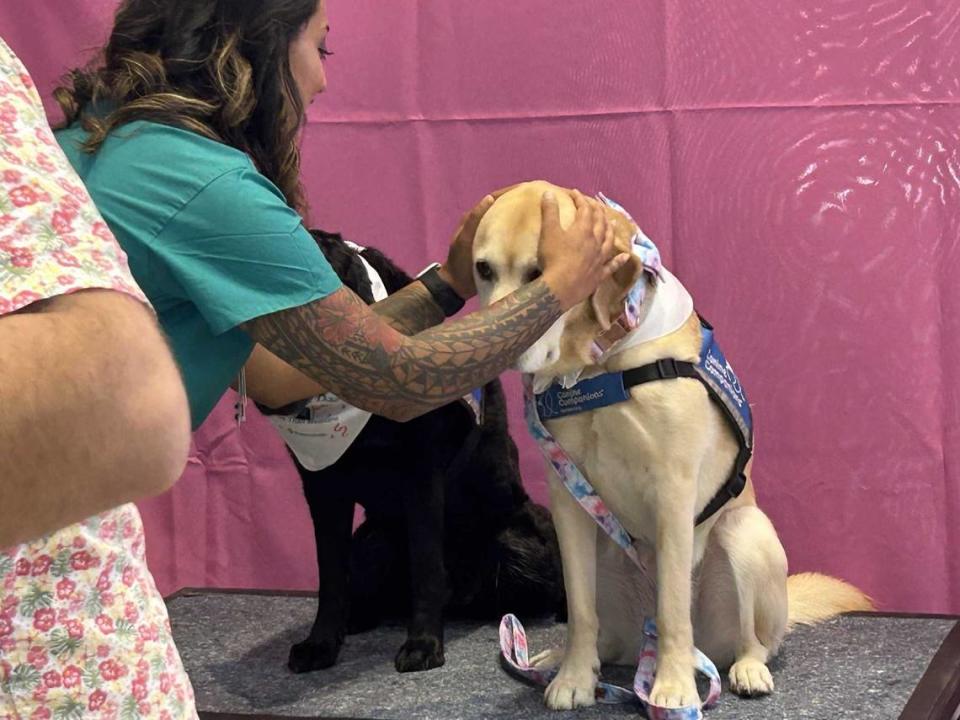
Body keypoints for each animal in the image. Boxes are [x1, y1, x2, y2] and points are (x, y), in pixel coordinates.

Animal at [258, 232, 568, 676]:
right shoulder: (321, 484)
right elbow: (330, 574)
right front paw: (321, 643)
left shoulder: (419, 472)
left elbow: (425, 564)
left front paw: (422, 645)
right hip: (371, 540)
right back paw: (356, 617)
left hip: (520, 537)